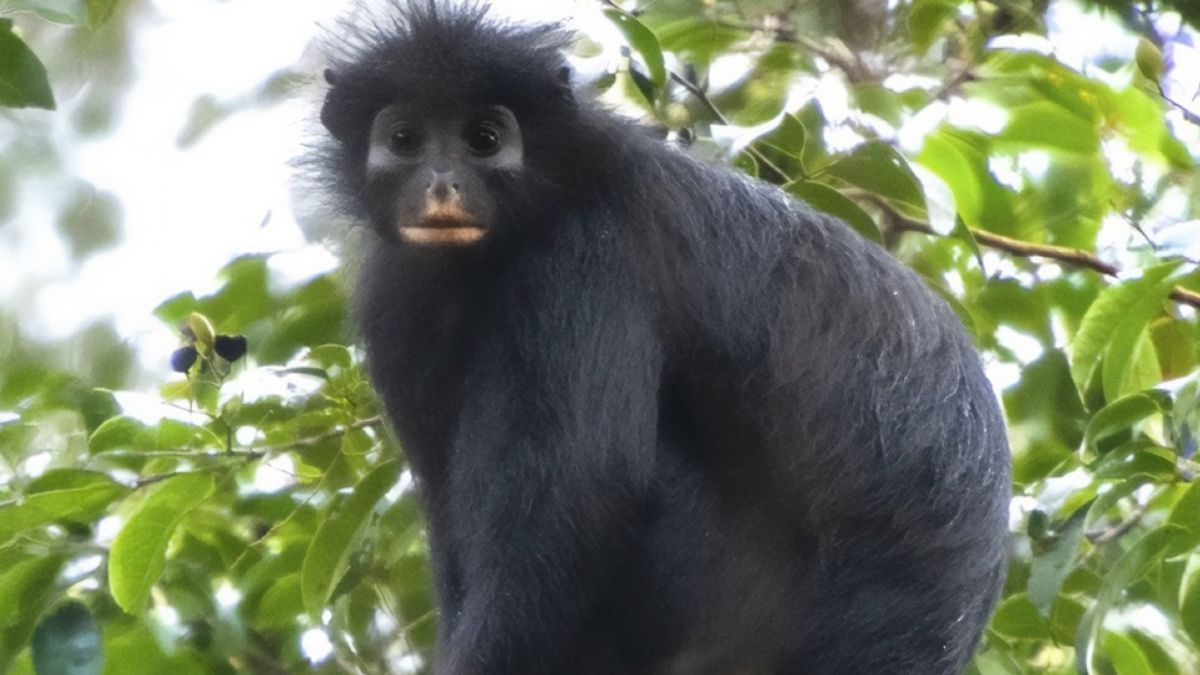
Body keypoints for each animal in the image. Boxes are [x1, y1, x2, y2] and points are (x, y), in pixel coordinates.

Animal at [313, 3, 1010, 674]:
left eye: (483, 140)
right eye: (405, 140)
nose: (441, 184)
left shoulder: (586, 256)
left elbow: (582, 496)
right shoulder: (395, 298)